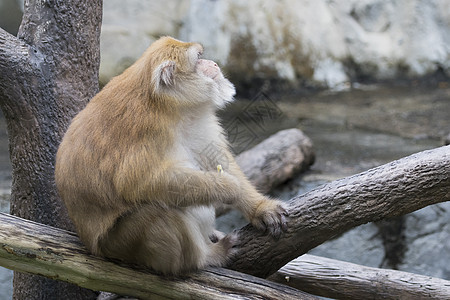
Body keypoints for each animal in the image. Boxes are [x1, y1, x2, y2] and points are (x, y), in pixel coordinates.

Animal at [55, 36, 288, 276]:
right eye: (198, 58)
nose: (214, 64)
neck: (169, 103)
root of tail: (91, 245)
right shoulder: (150, 129)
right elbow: (138, 183)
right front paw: (228, 187)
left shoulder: (196, 115)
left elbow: (215, 156)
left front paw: (260, 208)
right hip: (119, 245)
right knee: (158, 211)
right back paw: (207, 257)